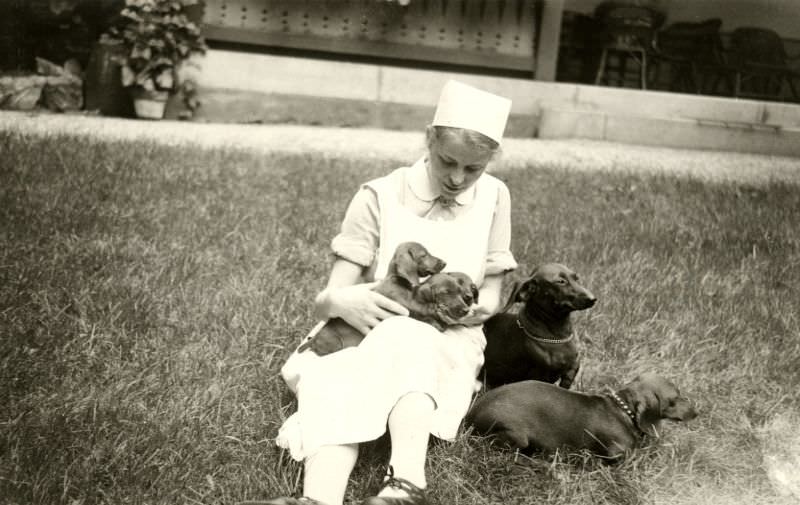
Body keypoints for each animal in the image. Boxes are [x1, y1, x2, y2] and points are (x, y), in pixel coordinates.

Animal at [466, 372, 696, 458]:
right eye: (675, 399)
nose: (696, 412)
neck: (623, 410)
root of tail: (470, 415)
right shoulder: (614, 454)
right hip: (516, 436)